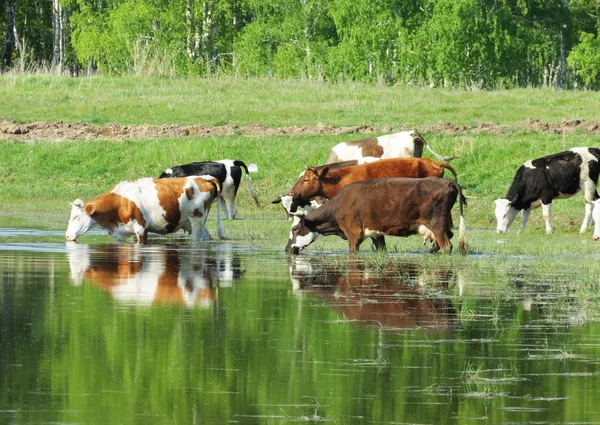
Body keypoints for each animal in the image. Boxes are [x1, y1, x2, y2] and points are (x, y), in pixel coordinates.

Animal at [65, 175, 224, 242]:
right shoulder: (121, 232)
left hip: (197, 222)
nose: (66, 236)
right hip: (196, 223)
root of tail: (203, 178)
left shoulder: (141, 228)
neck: (120, 202)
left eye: (76, 217)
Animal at [286, 176, 468, 255]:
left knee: (447, 245)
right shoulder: (376, 234)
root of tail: (447, 181)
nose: (287, 249)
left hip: (436, 223)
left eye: (295, 229)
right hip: (444, 224)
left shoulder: (353, 234)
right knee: (448, 237)